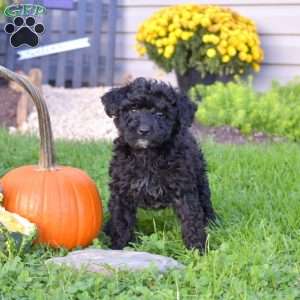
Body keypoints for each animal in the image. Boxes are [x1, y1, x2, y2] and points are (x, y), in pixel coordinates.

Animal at [102, 78, 214, 251]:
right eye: (133, 109)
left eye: (160, 114)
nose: (143, 130)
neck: (147, 155)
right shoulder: (122, 192)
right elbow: (121, 223)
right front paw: (119, 247)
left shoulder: (184, 190)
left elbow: (191, 219)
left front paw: (197, 249)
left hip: (200, 177)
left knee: (206, 202)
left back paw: (213, 224)